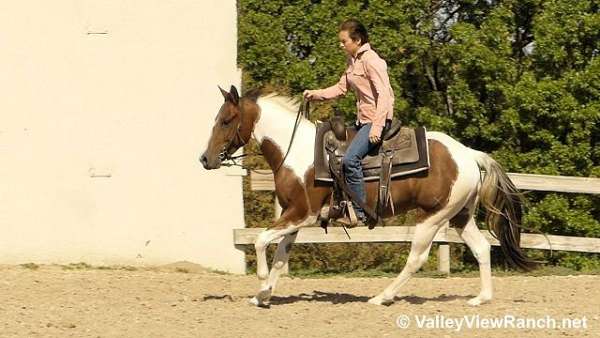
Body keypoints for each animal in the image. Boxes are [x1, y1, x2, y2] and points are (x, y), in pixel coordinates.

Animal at [202, 84, 536, 306]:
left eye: (226, 120)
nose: (205, 159)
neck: (294, 151)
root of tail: (468, 154)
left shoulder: (301, 214)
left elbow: (260, 241)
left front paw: (260, 282)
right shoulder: (293, 217)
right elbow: (281, 257)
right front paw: (263, 295)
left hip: (432, 217)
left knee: (416, 258)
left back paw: (381, 297)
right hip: (460, 216)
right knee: (481, 248)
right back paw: (481, 298)